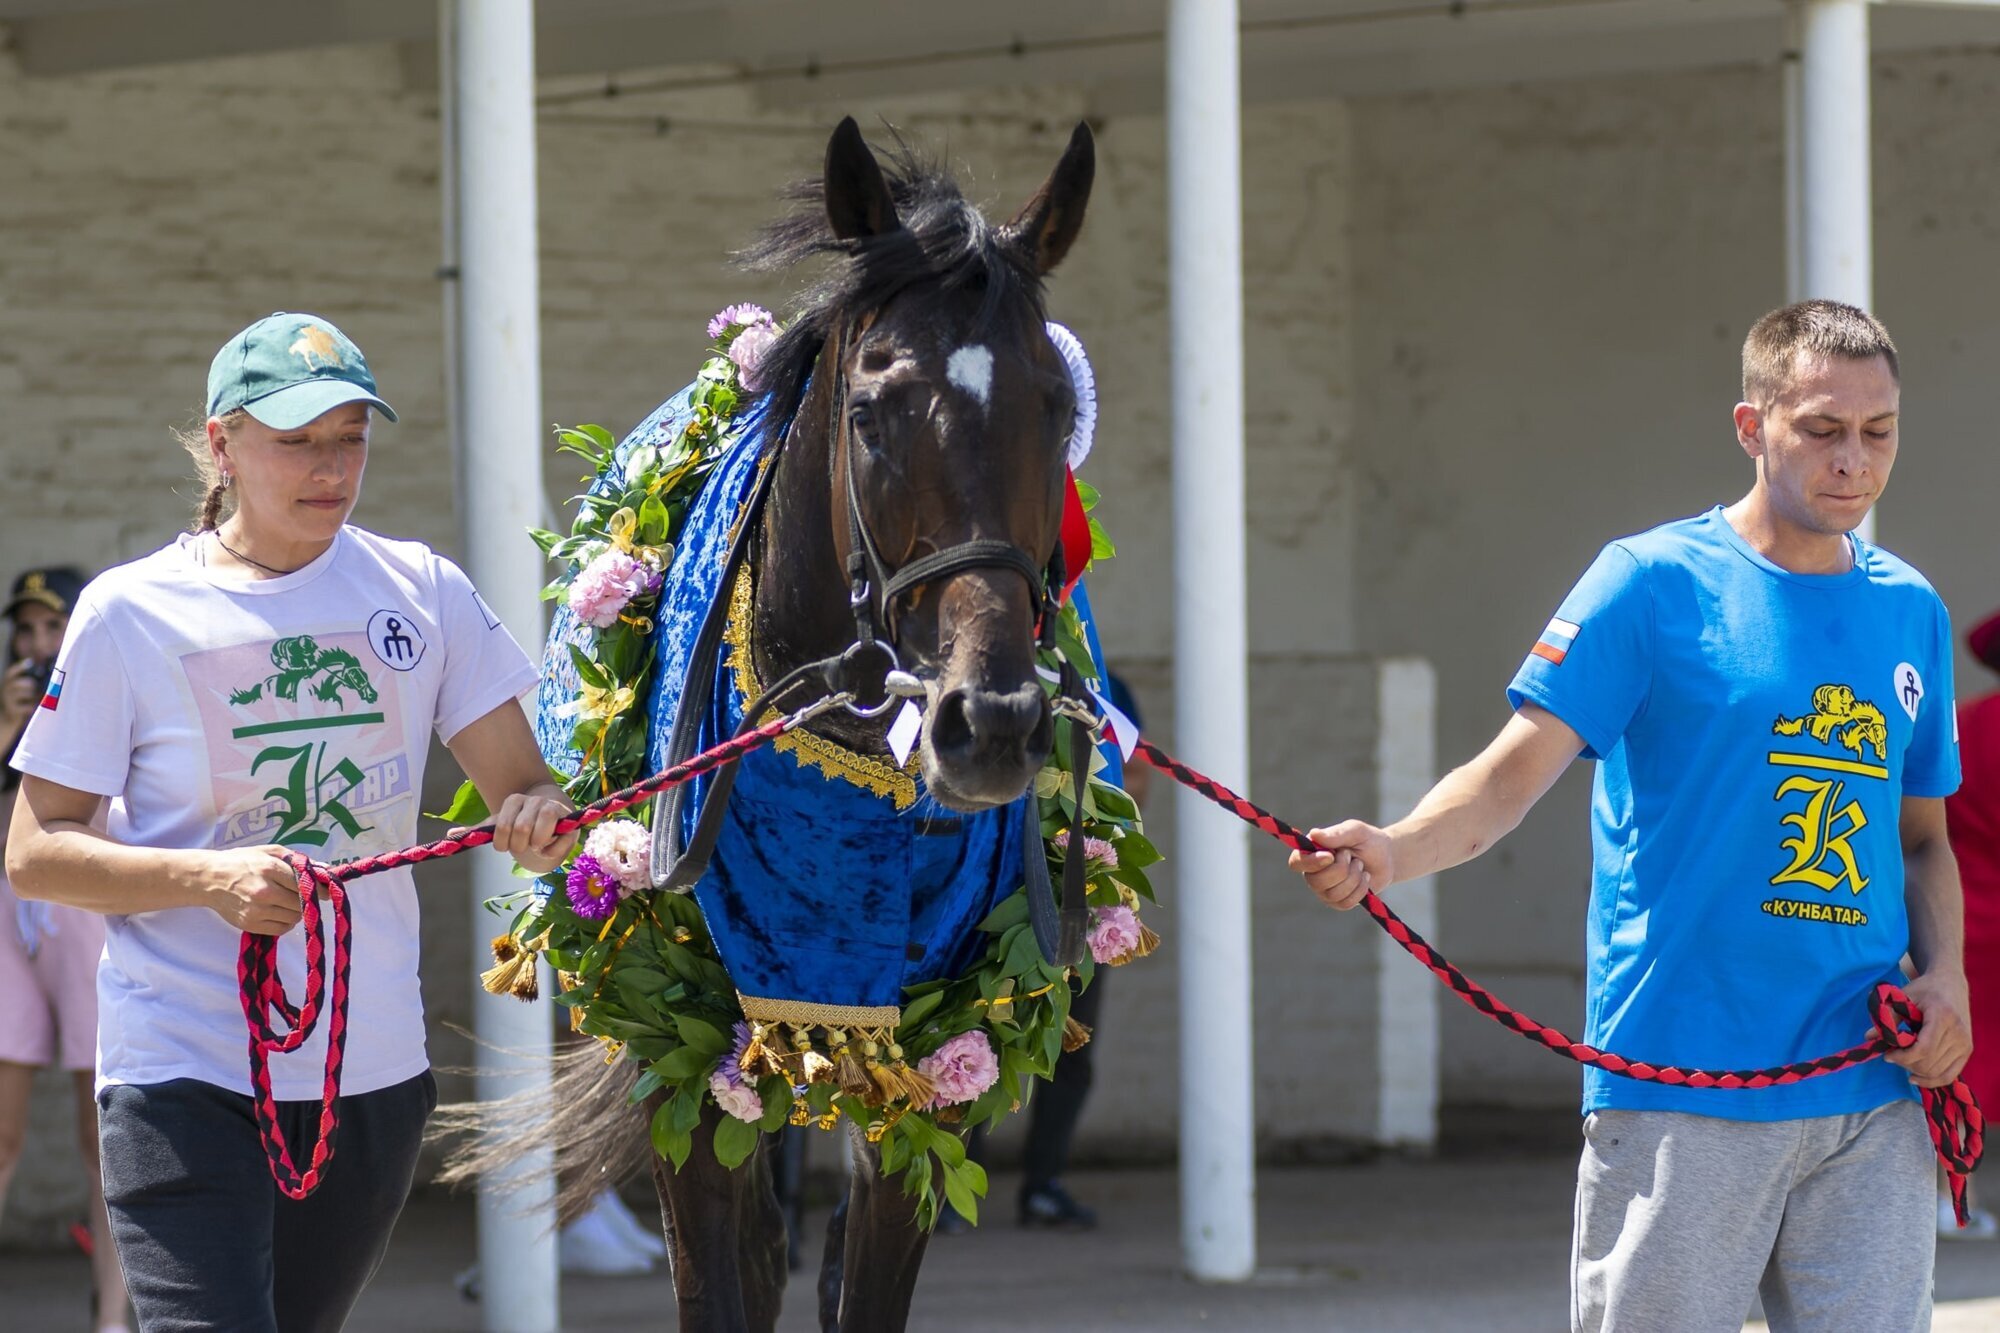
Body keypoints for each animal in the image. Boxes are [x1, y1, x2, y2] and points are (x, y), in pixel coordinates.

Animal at [444, 116, 1104, 1328]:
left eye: (1056, 406)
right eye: (869, 413)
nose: (988, 722)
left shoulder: (946, 1047)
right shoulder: (684, 1055)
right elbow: (725, 1273)